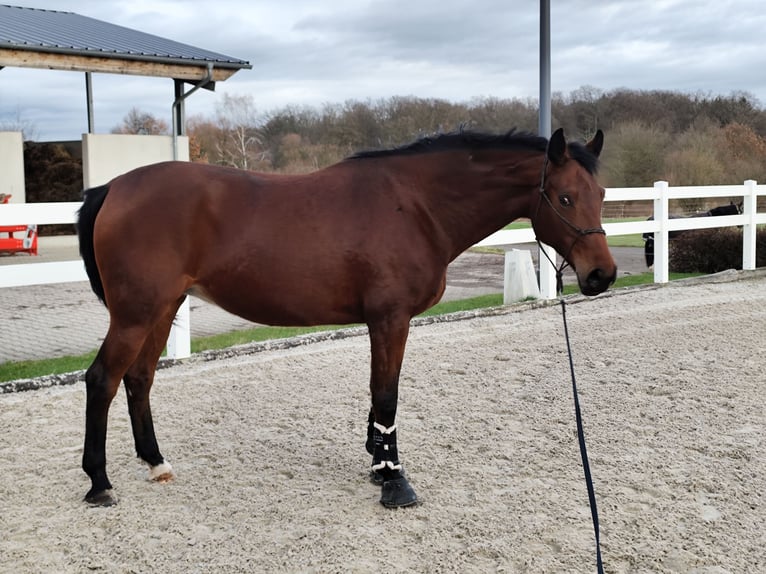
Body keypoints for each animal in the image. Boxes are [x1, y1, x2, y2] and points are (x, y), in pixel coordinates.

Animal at [78, 127, 616, 508]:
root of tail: (113, 187)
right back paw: (100, 483)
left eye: (602, 194)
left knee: (139, 379)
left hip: (163, 308)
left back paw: (155, 462)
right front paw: (394, 480)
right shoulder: (391, 319)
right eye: (564, 197)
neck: (416, 205)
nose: (602, 274)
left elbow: (379, 398)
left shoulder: (384, 321)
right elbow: (387, 395)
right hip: (136, 313)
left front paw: (378, 462)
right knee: (103, 380)